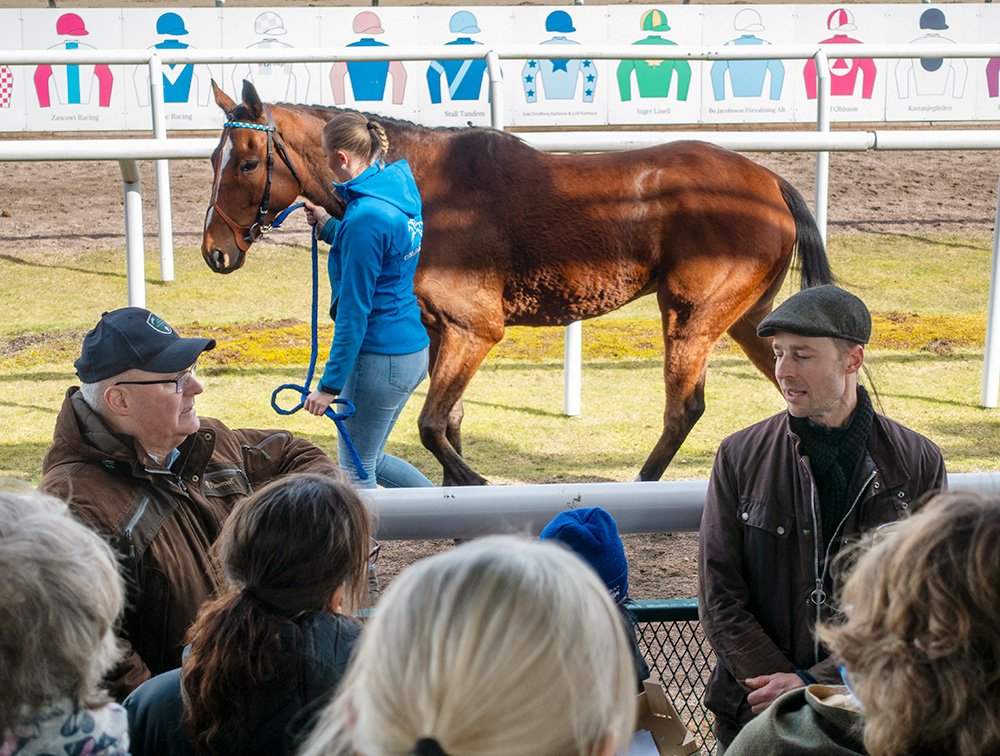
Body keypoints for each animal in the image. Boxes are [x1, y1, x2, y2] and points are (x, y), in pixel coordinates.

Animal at [201, 81, 828, 484]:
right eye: (212, 158)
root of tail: (771, 181)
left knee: (685, 409)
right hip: (752, 320)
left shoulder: (474, 328)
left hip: (690, 316)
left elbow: (432, 428)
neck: (425, 188)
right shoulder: (442, 332)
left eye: (248, 163)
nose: (215, 250)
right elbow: (449, 425)